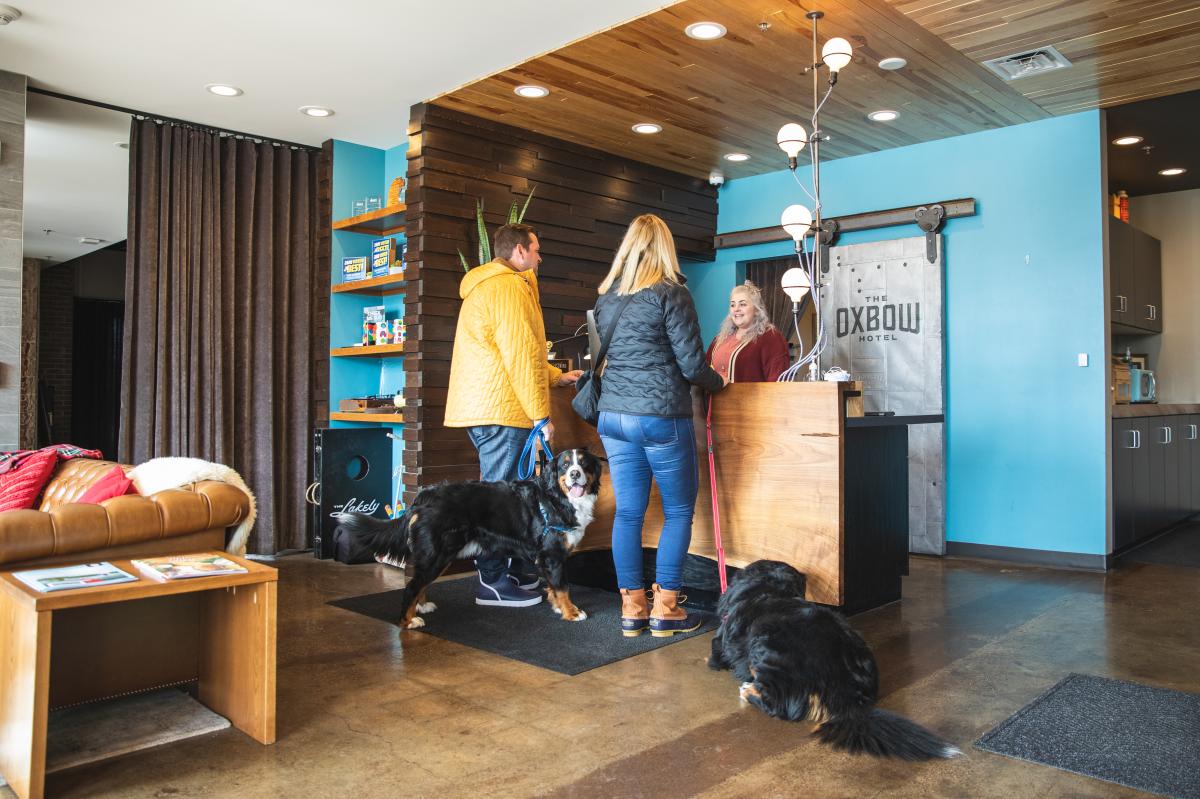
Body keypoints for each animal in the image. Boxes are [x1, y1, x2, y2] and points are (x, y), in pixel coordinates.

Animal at [336, 448, 600, 628]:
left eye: (583, 463)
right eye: (565, 465)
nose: (575, 474)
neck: (557, 498)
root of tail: (426, 495)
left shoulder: (549, 557)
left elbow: (554, 587)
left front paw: (557, 606)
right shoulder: (552, 555)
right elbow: (563, 586)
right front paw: (571, 612)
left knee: (420, 582)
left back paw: (422, 606)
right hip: (438, 554)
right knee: (411, 586)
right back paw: (408, 621)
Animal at [705, 556, 960, 758]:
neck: (767, 589)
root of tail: (846, 692)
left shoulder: (719, 644)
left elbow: (714, 656)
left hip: (765, 642)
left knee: (776, 705)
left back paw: (749, 691)